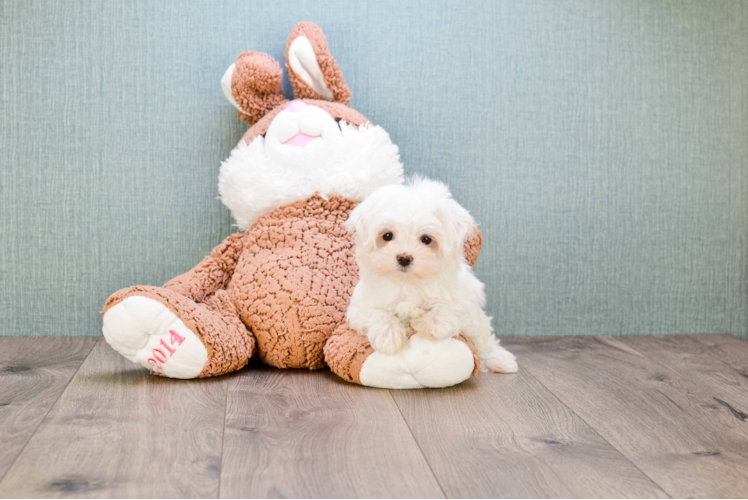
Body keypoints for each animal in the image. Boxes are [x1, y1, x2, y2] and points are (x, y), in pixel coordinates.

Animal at [346, 178, 516, 374]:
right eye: (387, 236)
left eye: (426, 239)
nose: (404, 258)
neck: (408, 282)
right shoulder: (361, 306)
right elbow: (377, 313)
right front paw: (389, 337)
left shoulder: (463, 303)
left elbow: (448, 310)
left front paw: (428, 323)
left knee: (484, 340)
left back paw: (499, 359)